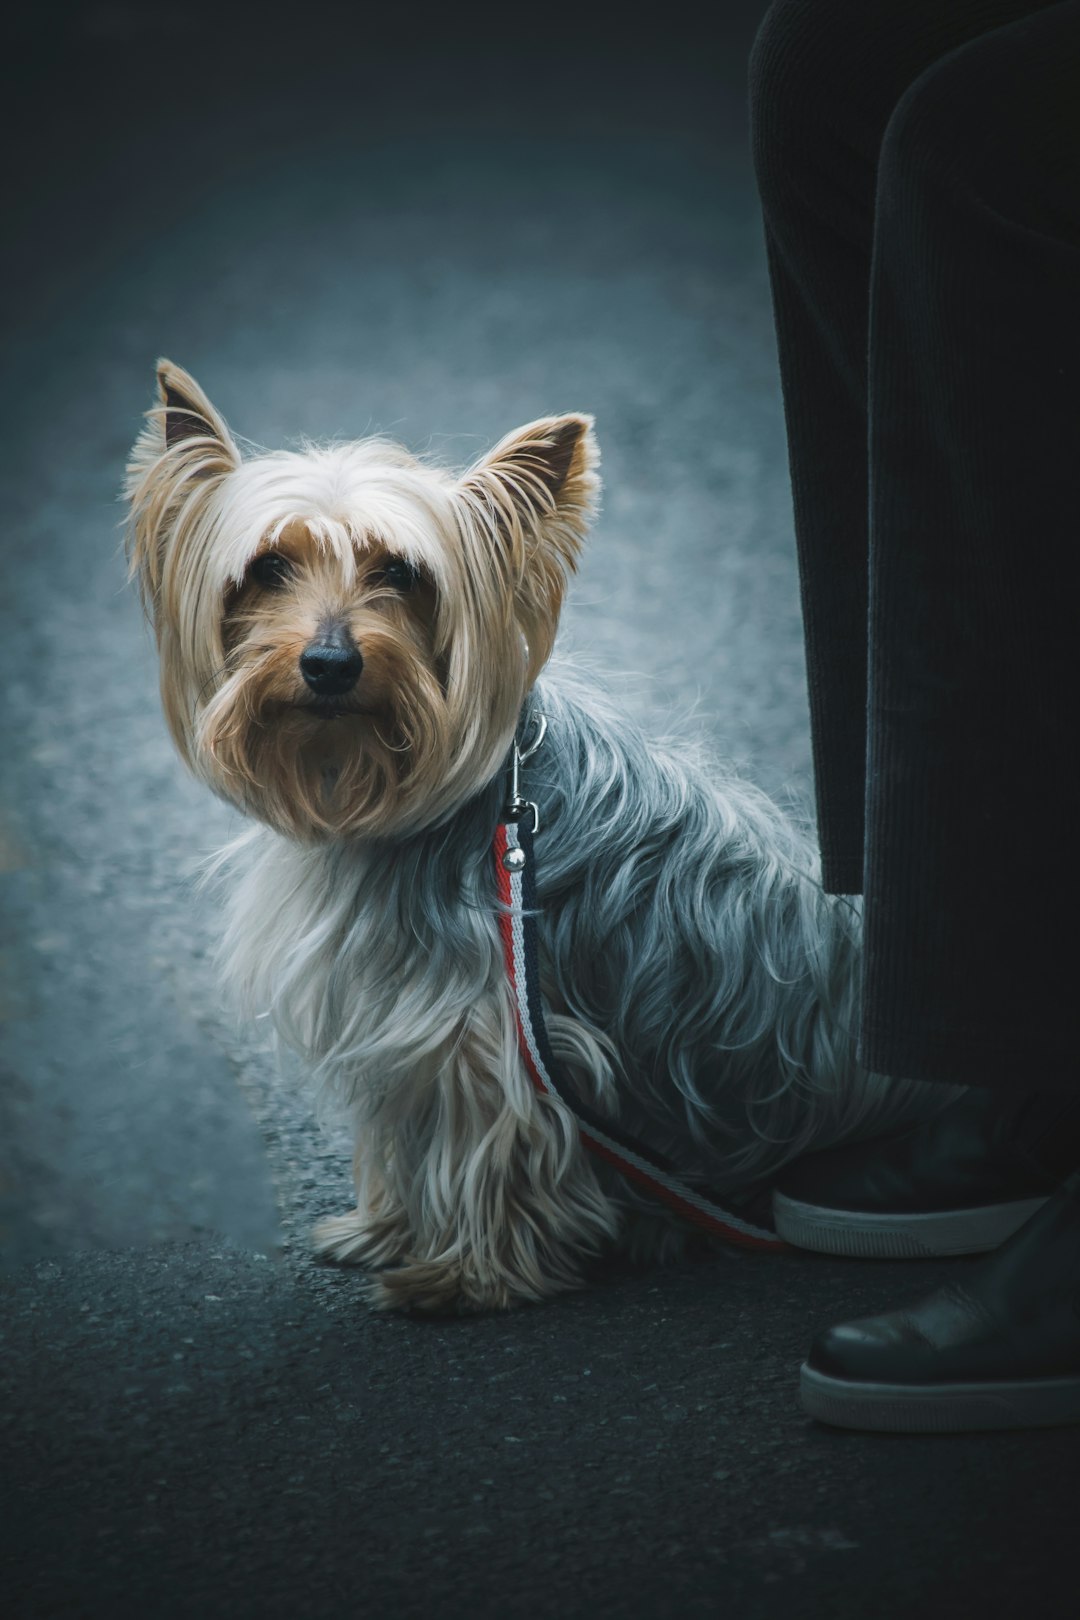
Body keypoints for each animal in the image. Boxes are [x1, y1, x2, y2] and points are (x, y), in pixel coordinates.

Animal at [124, 361, 939, 1308]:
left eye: (401, 572)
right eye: (267, 568)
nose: (330, 663)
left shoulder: (489, 1028)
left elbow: (488, 1142)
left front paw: (464, 1276)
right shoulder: (402, 1014)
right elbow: (403, 1126)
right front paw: (385, 1231)